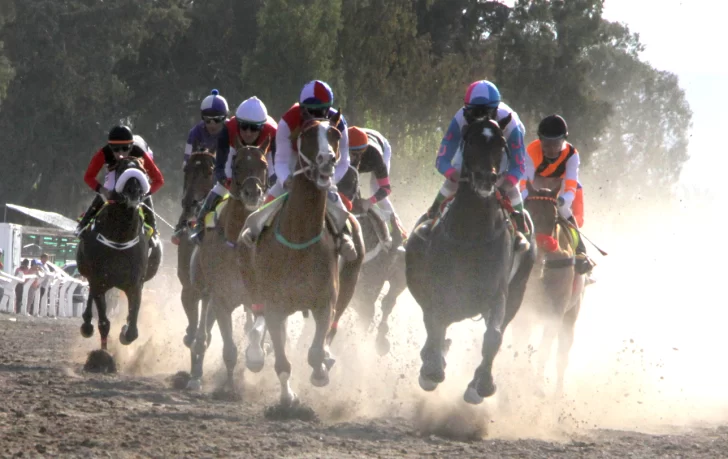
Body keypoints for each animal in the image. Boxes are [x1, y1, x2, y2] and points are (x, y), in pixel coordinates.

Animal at [77, 157, 162, 352]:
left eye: (142, 170)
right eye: (122, 169)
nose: (134, 191)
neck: (120, 238)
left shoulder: (135, 284)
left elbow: (132, 330)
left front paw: (125, 331)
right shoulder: (99, 280)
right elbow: (103, 323)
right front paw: (103, 353)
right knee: (91, 295)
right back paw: (86, 325)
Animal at [185, 142, 270, 394]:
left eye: (264, 165)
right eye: (237, 164)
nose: (253, 193)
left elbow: (256, 331)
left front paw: (256, 356)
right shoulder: (221, 298)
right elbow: (229, 349)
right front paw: (229, 389)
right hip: (202, 288)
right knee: (202, 330)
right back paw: (195, 374)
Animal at [247, 115, 364, 406]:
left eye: (335, 134)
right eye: (308, 134)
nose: (327, 158)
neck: (299, 238)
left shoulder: (325, 302)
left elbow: (315, 349)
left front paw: (320, 371)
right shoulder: (275, 305)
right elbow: (281, 360)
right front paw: (288, 397)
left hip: (350, 280)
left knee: (333, 326)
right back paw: (254, 352)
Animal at [404, 117, 536, 404]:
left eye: (501, 144)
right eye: (472, 141)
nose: (487, 177)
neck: (472, 232)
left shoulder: (498, 293)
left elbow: (493, 336)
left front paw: (482, 384)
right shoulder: (439, 289)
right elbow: (435, 321)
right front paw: (432, 368)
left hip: (519, 289)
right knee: (433, 324)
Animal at [516, 181, 588, 396]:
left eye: (554, 218)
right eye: (528, 213)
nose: (538, 255)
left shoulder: (555, 314)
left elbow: (545, 351)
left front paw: (537, 385)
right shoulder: (522, 311)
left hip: (570, 316)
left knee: (562, 356)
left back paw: (557, 395)